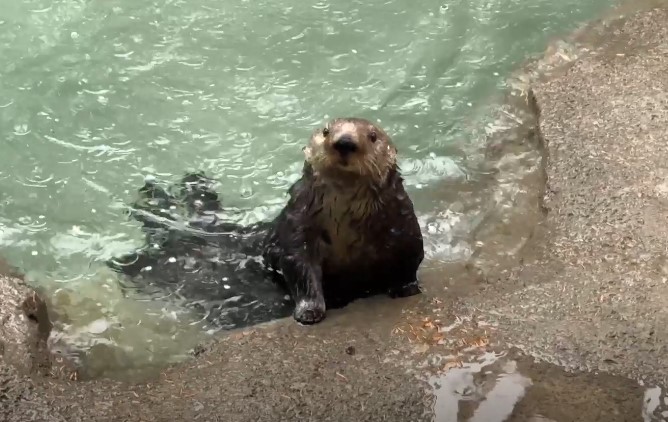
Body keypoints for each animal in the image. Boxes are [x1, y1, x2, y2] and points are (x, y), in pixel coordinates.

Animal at [108, 117, 424, 327]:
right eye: (326, 131)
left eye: (372, 136)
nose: (344, 142)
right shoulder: (298, 229)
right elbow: (300, 269)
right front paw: (309, 312)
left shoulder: (402, 224)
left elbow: (410, 258)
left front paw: (406, 288)